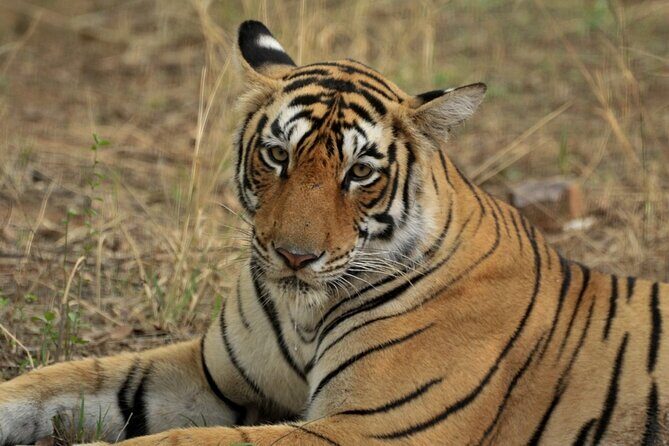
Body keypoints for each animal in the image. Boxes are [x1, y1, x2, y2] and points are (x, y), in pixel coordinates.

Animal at [1, 19, 667, 446]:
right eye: (277, 155)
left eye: (361, 173)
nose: (296, 257)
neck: (306, 314)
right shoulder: (210, 374)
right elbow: (63, 380)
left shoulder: (374, 426)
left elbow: (181, 442)